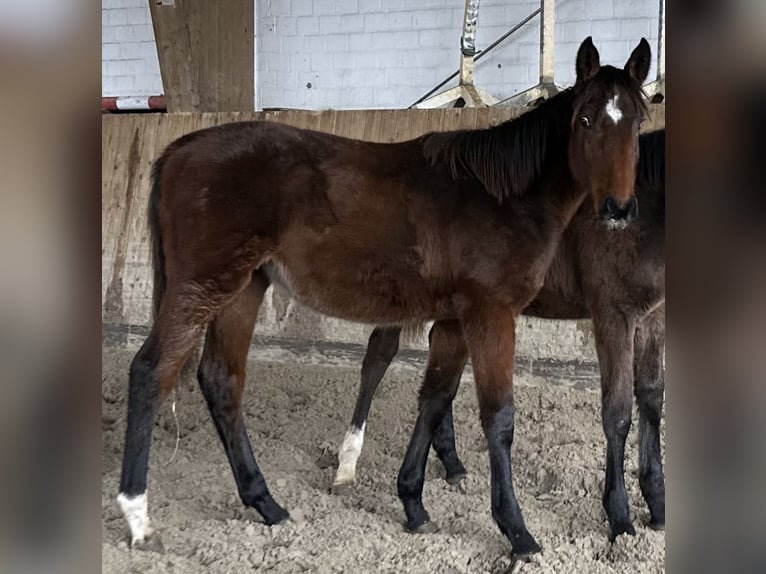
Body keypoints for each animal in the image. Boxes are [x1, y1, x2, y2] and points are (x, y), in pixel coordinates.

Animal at [332, 129, 665, 542]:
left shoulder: (652, 317)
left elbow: (651, 399)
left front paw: (658, 505)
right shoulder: (612, 315)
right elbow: (618, 413)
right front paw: (619, 518)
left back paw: (452, 463)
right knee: (379, 356)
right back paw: (347, 464)